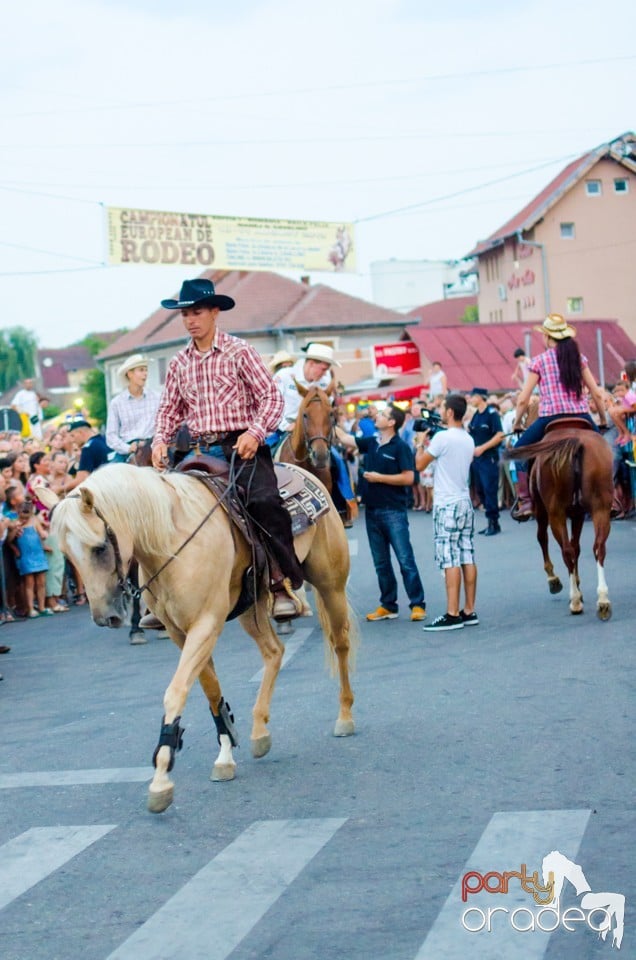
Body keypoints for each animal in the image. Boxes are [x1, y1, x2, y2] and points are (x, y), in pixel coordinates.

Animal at [504, 422, 612, 620]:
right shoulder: (578, 514)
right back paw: (603, 601)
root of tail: (576, 442)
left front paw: (554, 580)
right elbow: (576, 547)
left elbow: (543, 539)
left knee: (565, 550)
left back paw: (575, 600)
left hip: (555, 513)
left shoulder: (542, 512)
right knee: (598, 547)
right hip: (600, 508)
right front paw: (578, 584)